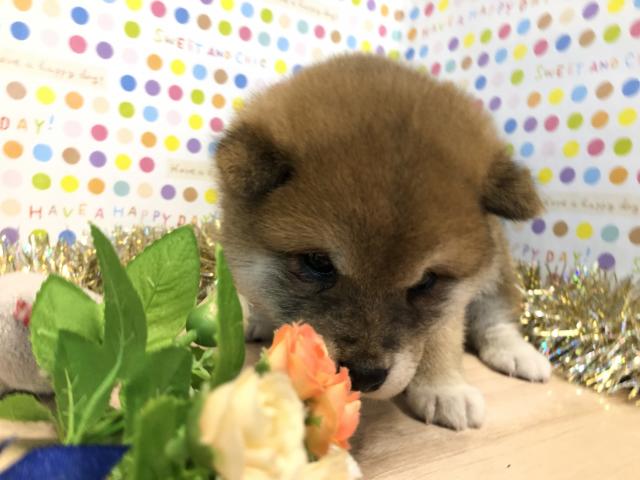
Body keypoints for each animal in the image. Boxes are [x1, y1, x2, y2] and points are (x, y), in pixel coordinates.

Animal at [214, 54, 552, 430]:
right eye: (318, 263)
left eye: (427, 281)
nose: (363, 375)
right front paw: (244, 313)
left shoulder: (454, 297)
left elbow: (443, 335)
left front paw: (443, 387)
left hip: (498, 268)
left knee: (496, 316)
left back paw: (518, 353)